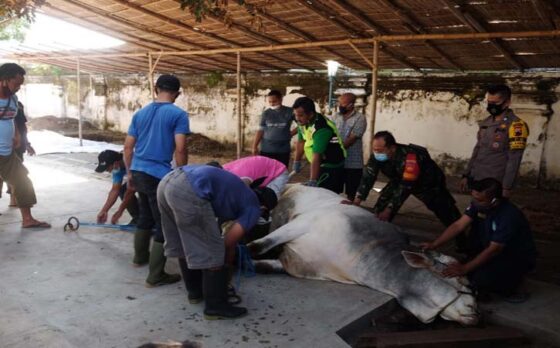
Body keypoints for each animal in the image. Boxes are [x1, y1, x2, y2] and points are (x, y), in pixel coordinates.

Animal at [247, 186, 480, 324]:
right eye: (461, 278)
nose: (476, 311)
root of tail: (295, 185)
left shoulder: (293, 264)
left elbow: (261, 263)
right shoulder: (301, 224)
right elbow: (255, 247)